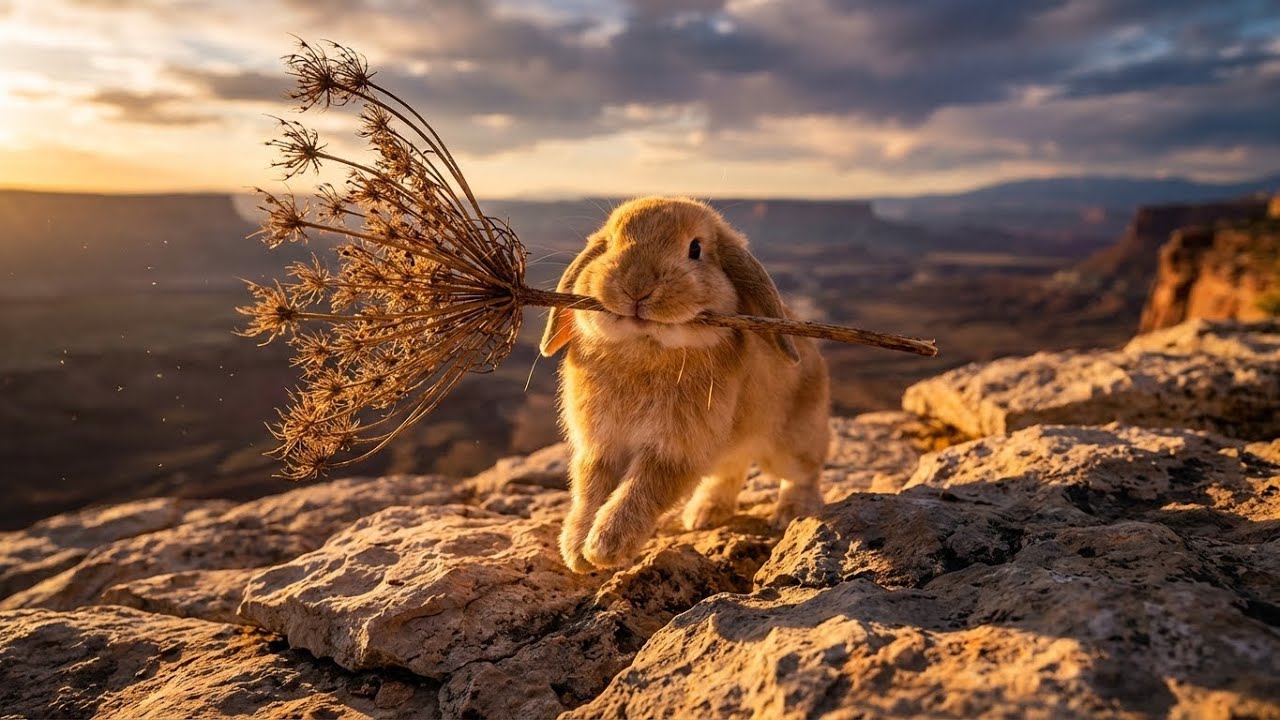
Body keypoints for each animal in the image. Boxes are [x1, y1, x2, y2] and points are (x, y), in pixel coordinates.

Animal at [539, 196, 831, 573]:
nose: (637, 286)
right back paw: (703, 514)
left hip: (791, 441)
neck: (645, 346)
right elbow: (590, 490)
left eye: (695, 249)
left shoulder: (675, 449)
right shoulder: (600, 446)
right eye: (610, 244)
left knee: (803, 473)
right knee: (730, 470)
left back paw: (790, 512)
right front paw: (576, 551)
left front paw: (605, 547)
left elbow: (642, 489)